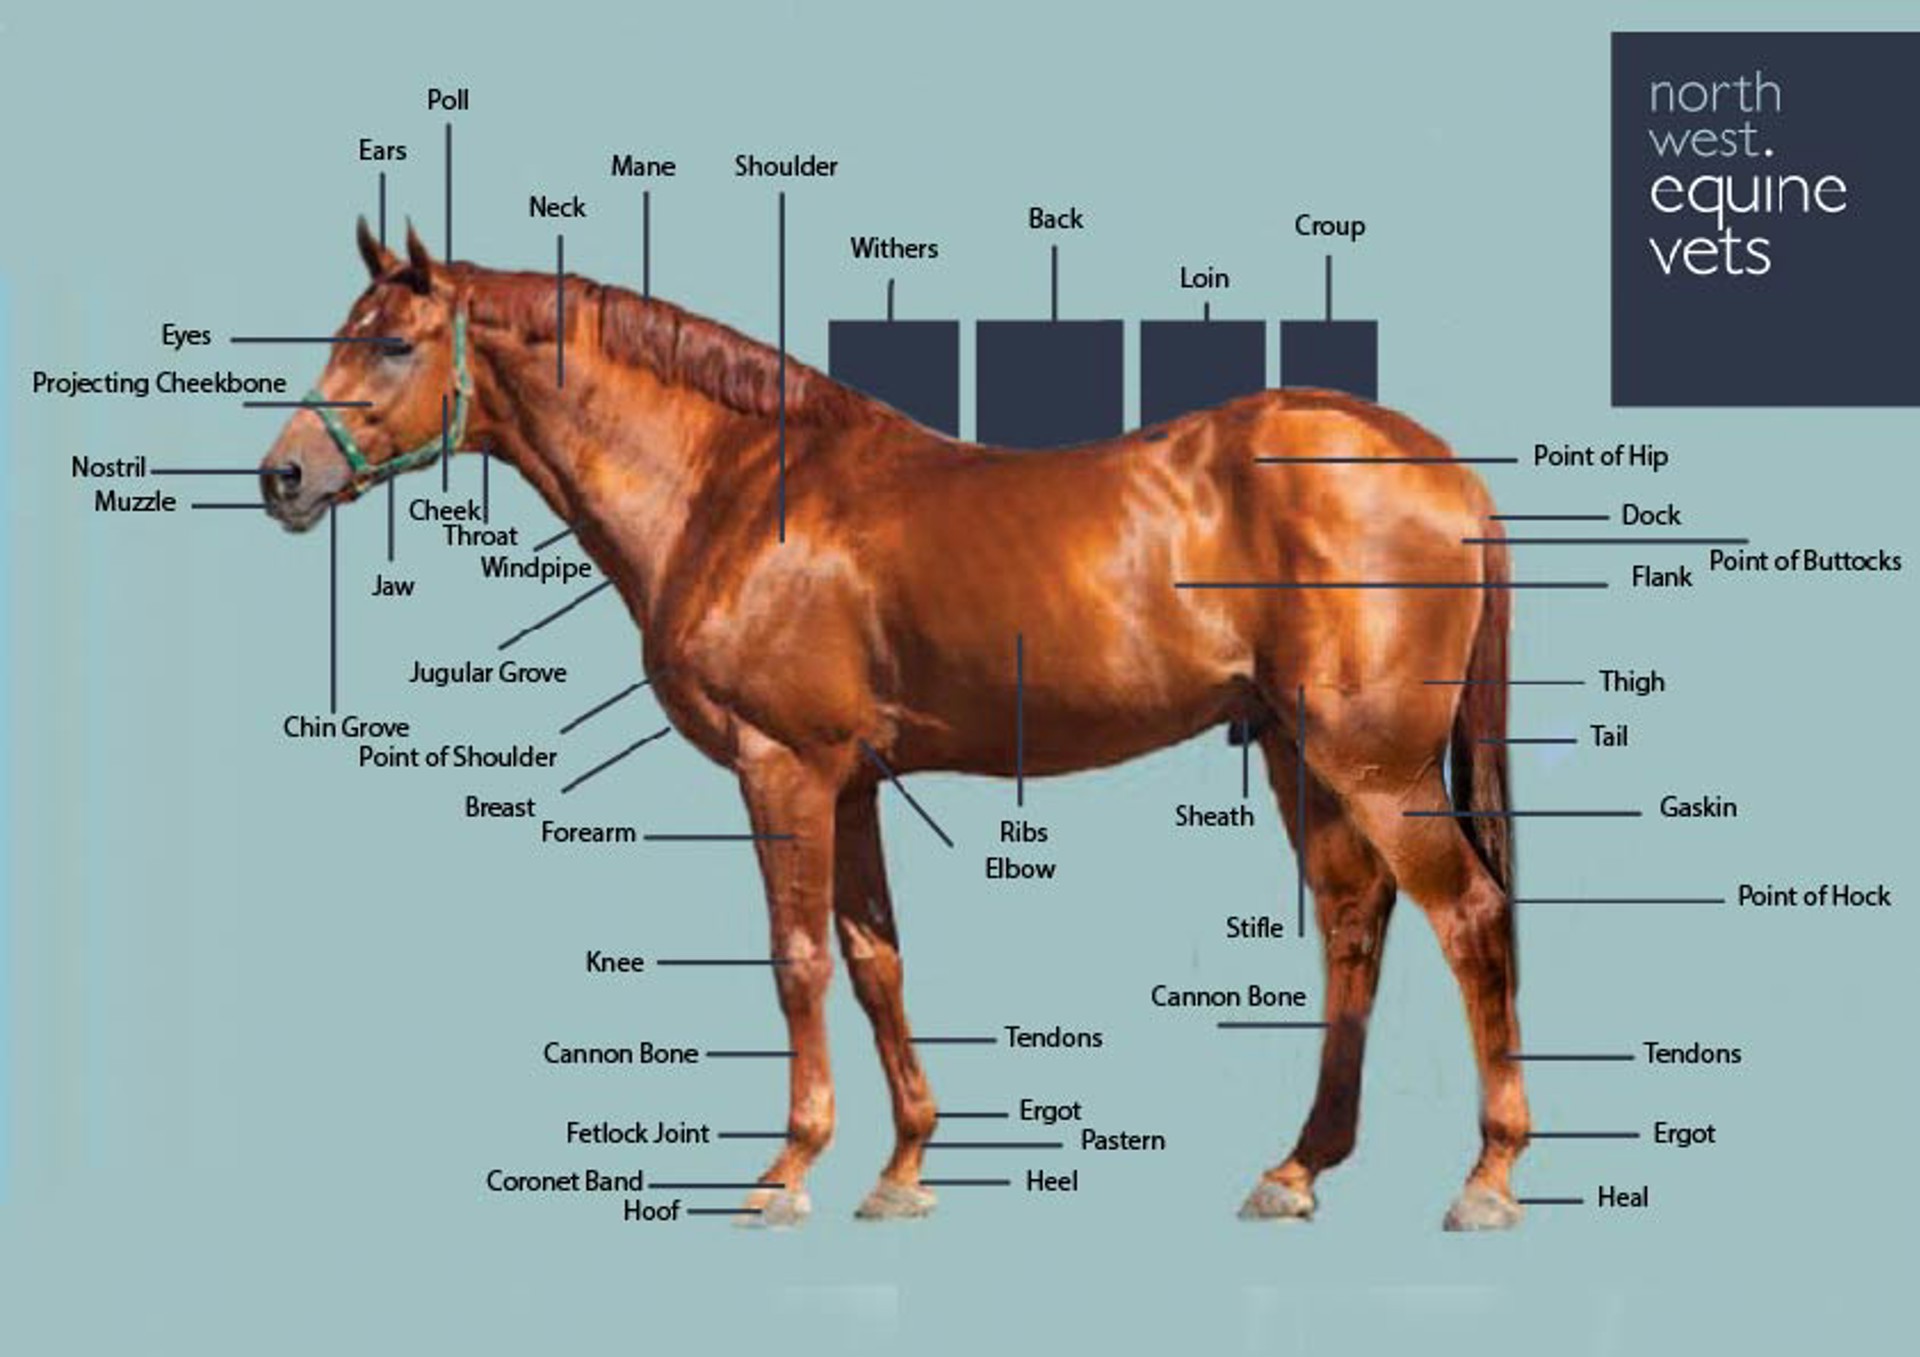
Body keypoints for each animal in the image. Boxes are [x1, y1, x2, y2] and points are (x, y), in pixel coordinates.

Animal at [260, 221, 1531, 1231]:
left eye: (392, 341)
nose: (283, 476)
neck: (732, 487)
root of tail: (1446, 473)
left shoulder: (783, 768)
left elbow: (799, 961)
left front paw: (786, 1173)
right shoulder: (856, 778)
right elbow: (876, 961)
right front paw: (904, 1167)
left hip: (1373, 758)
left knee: (1467, 911)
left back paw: (1489, 1177)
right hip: (1294, 748)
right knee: (1357, 919)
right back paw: (1298, 1167)